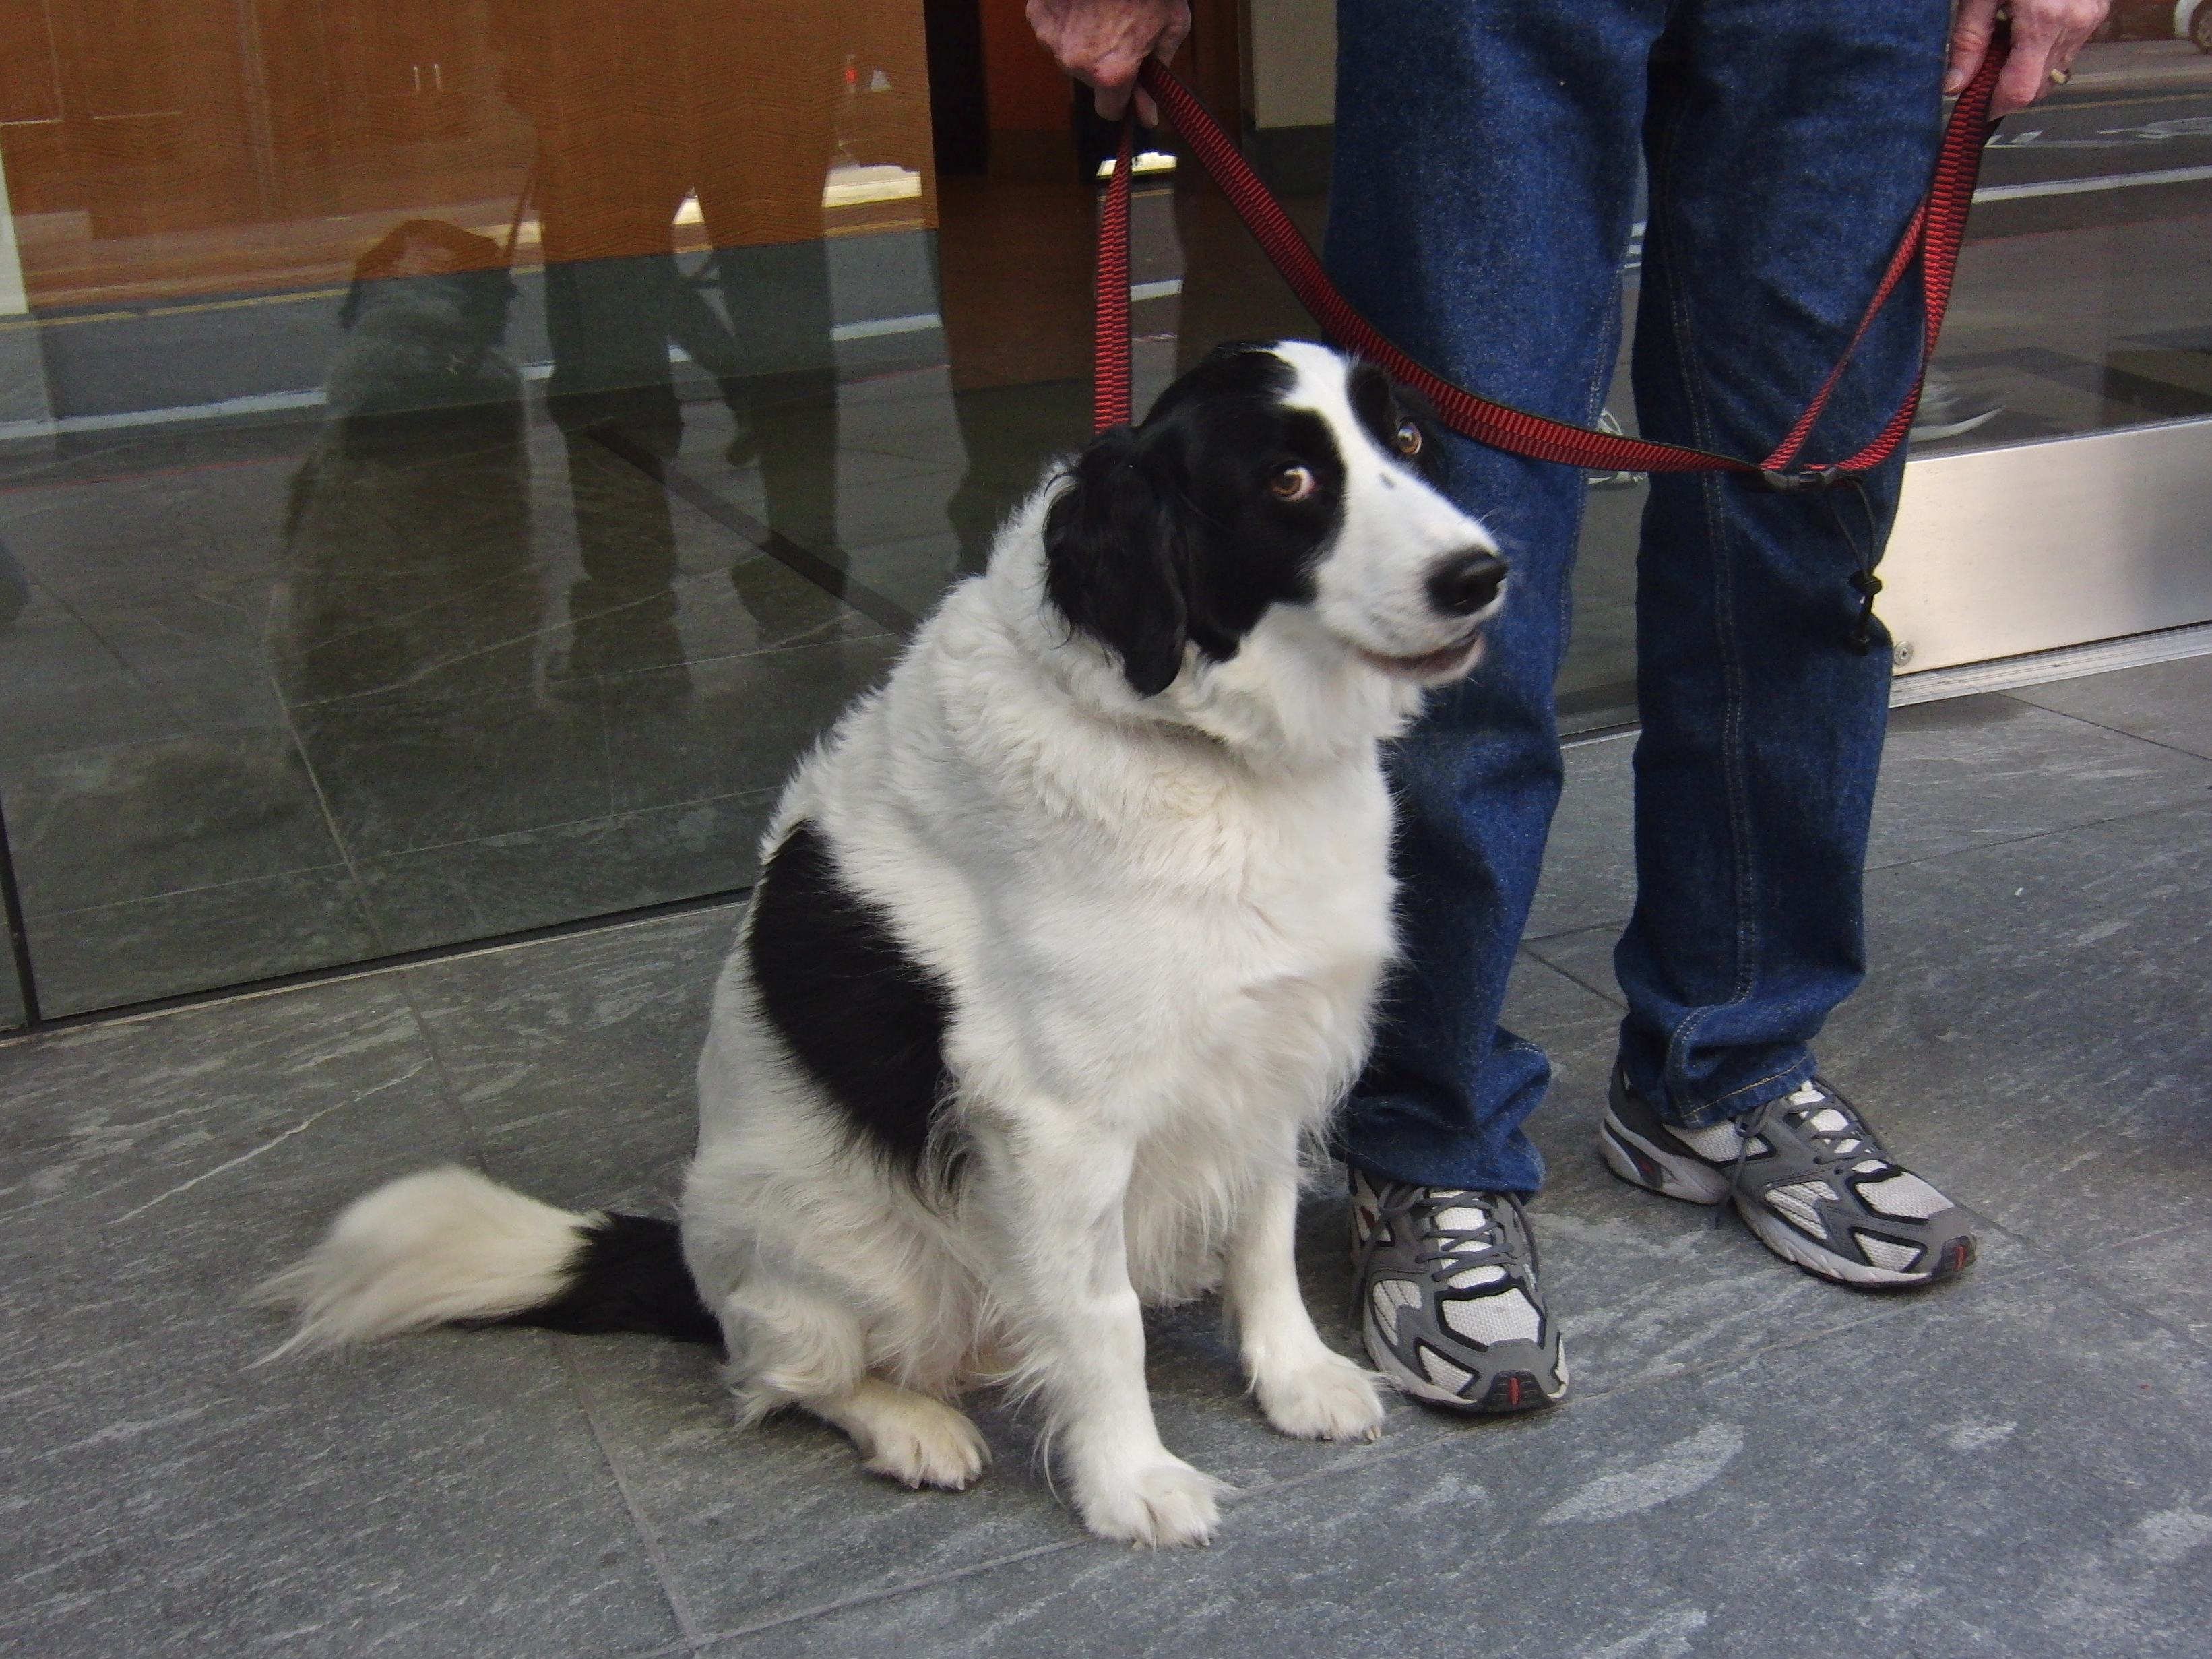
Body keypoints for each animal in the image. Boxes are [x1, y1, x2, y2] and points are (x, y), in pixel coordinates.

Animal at [254, 345, 1504, 1557]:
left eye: (1403, 439)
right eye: (1286, 482)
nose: (1482, 573)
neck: (1203, 742)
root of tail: (694, 1264)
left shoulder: (1270, 1052)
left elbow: (1262, 1235)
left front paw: (1293, 1378)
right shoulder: (1057, 1121)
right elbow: (1099, 1321)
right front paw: (1128, 1484)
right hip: (835, 1245)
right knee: (783, 1369)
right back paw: (910, 1424)